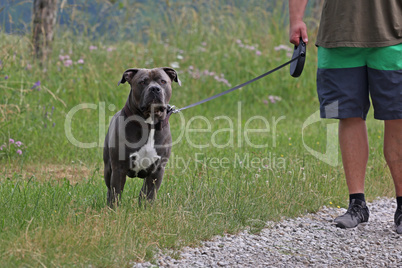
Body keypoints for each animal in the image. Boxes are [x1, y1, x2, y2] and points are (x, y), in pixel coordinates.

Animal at [103, 67, 181, 205]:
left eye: (162, 81)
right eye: (142, 82)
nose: (155, 88)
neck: (149, 124)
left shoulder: (157, 171)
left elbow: (148, 195)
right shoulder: (119, 168)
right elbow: (116, 194)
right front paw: (114, 209)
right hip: (108, 167)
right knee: (109, 189)